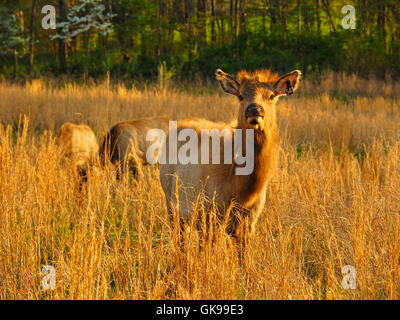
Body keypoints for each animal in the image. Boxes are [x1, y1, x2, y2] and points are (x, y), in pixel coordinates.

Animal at [159, 68, 300, 255]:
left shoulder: (250, 220)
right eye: (240, 95)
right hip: (171, 200)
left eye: (271, 95)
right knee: (180, 239)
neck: (241, 188)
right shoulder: (210, 213)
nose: (254, 110)